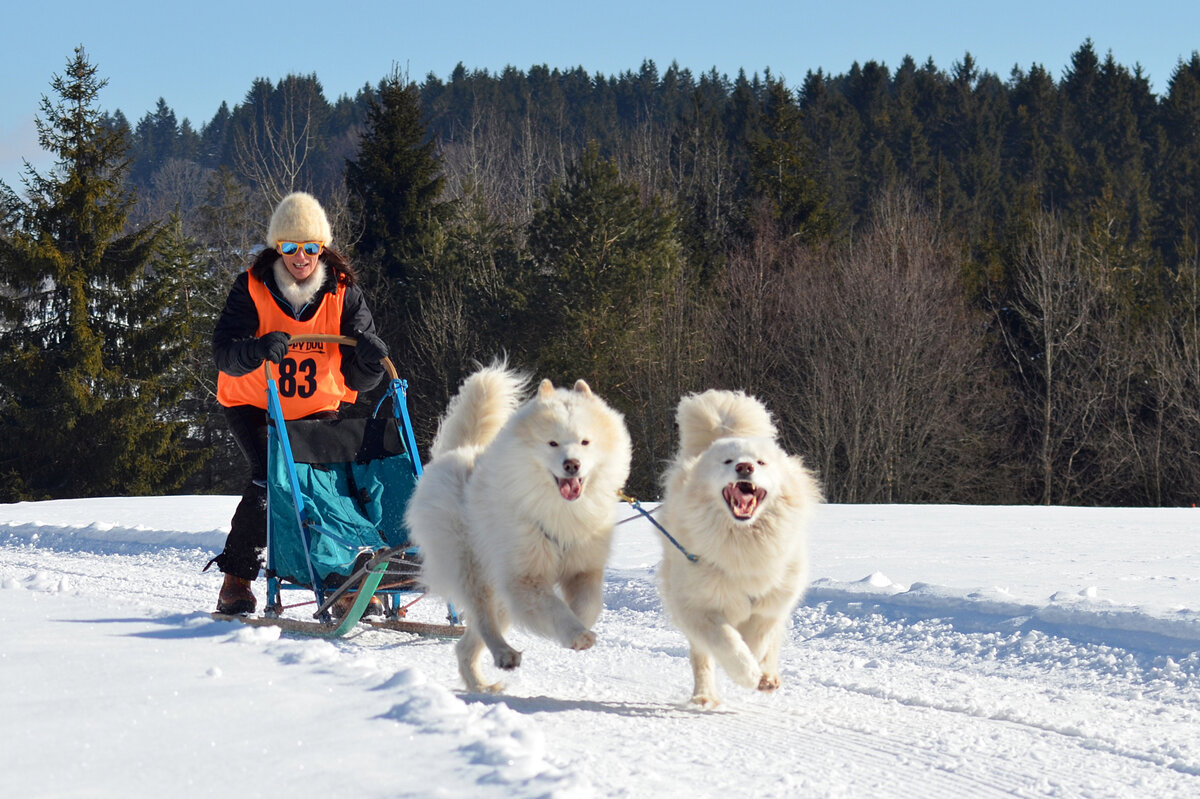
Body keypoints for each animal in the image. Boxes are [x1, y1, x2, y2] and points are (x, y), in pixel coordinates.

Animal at [403, 359, 633, 691]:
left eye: (585, 441)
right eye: (553, 443)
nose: (572, 464)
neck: (559, 510)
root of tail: (456, 452)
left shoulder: (583, 568)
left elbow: (587, 606)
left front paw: (577, 627)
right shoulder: (524, 577)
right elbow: (554, 606)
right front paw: (575, 634)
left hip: (497, 590)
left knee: (465, 645)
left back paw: (482, 684)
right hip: (473, 570)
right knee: (483, 619)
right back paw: (503, 653)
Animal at [657, 388, 825, 705]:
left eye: (761, 463)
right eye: (727, 461)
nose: (744, 467)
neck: (744, 541)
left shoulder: (773, 602)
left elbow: (759, 638)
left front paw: (759, 672)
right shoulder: (698, 606)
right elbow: (728, 643)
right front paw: (746, 674)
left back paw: (768, 677)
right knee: (702, 659)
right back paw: (705, 697)